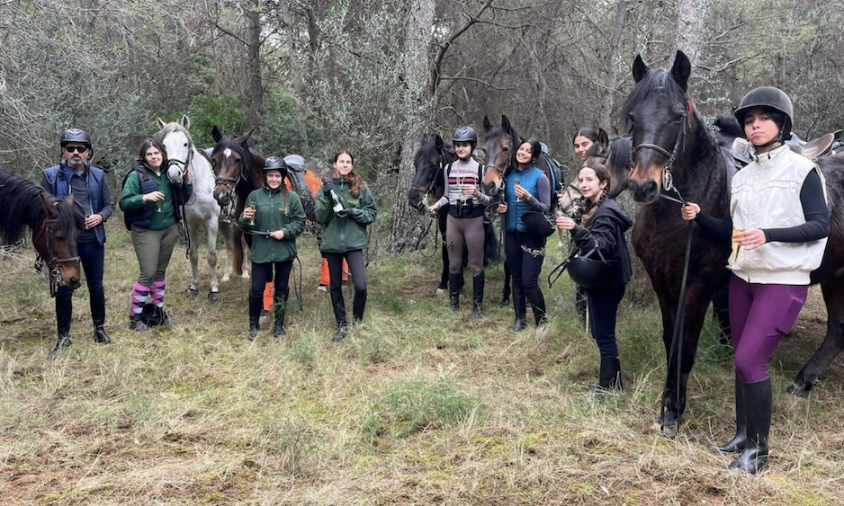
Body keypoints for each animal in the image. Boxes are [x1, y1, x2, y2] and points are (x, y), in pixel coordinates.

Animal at [155, 116, 244, 298]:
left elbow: (211, 257)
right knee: (231, 244)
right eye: (164, 145)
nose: (174, 175)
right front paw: (194, 286)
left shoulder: (211, 222)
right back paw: (227, 275)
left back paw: (245, 274)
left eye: (185, 144)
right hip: (224, 222)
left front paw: (214, 289)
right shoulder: (190, 224)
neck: (197, 185)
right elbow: (194, 256)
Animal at [608, 49, 844, 432]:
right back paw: (803, 382)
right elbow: (670, 340)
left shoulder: (697, 285)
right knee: (837, 329)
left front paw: (673, 410)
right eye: (632, 116)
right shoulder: (663, 282)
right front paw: (668, 404)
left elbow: (684, 346)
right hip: (837, 276)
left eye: (678, 116)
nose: (644, 186)